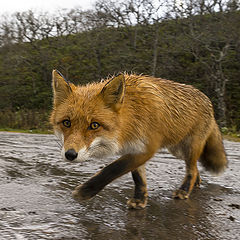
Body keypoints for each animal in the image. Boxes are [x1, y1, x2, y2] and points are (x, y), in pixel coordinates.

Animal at [50, 69, 227, 208]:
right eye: (66, 122)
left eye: (94, 125)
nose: (70, 155)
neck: (132, 117)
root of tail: (208, 100)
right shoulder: (133, 148)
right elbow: (138, 178)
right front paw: (140, 199)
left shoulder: (147, 148)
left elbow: (112, 169)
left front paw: (86, 191)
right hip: (177, 149)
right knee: (195, 168)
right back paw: (195, 184)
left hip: (189, 147)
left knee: (191, 169)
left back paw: (184, 190)